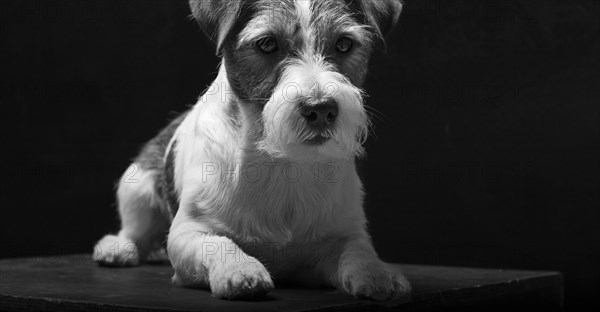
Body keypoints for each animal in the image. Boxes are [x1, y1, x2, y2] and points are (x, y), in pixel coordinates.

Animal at [92, 0, 412, 302]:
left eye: (344, 43)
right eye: (267, 43)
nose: (320, 109)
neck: (284, 161)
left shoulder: (345, 235)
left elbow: (358, 254)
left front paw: (378, 274)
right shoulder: (187, 232)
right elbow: (219, 243)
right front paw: (239, 270)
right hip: (135, 187)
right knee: (135, 231)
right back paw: (117, 248)